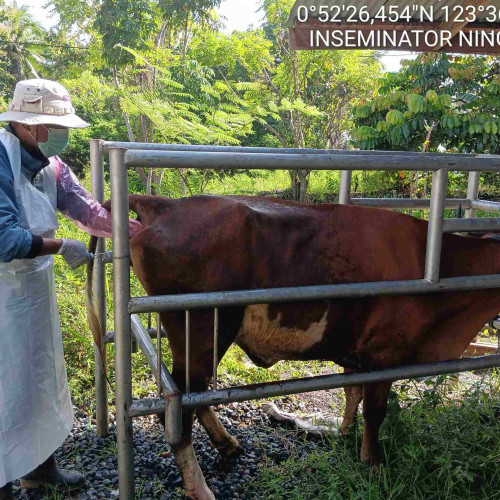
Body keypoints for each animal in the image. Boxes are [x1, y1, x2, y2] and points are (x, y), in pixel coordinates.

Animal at [88, 194, 498, 500]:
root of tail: (166, 205)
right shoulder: (385, 354)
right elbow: (375, 411)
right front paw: (373, 462)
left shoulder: (357, 350)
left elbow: (351, 393)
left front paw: (342, 433)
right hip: (200, 328)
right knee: (180, 406)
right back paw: (202, 487)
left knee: (194, 394)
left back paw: (228, 445)